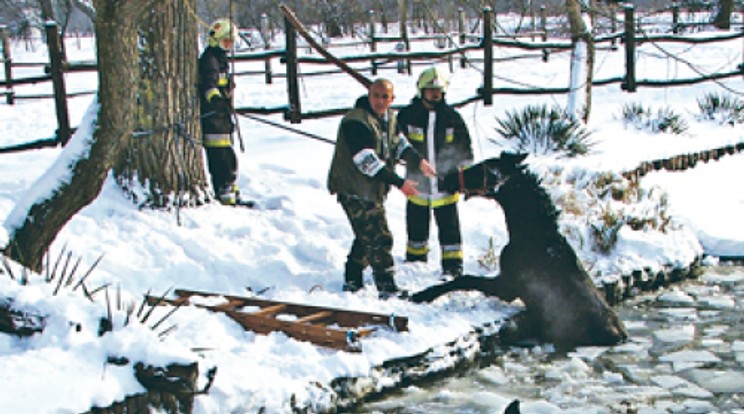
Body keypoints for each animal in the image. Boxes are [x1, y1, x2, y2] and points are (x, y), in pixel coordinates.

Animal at [412, 152, 628, 350]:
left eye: (481, 169)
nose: (445, 179)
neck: (528, 233)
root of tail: (621, 337)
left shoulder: (507, 286)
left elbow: (465, 279)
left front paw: (422, 295)